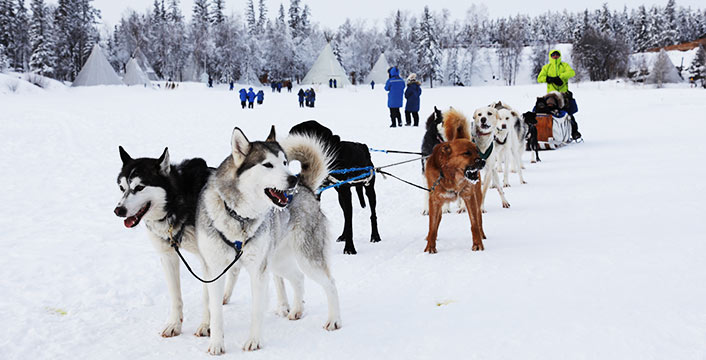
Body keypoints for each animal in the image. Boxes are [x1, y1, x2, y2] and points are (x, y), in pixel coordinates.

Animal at [114, 146, 238, 338]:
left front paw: (206, 326)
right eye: (122, 188)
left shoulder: (207, 260)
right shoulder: (168, 256)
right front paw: (174, 324)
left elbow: (207, 297)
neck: (178, 202)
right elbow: (175, 295)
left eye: (140, 187)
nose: (118, 210)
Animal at [198, 126, 340, 354]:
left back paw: (334, 320)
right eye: (267, 165)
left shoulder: (258, 272)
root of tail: (306, 187)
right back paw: (297, 310)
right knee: (298, 278)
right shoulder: (215, 271)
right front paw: (216, 344)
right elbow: (216, 312)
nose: (292, 180)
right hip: (277, 262)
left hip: (306, 258)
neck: (239, 217)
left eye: (284, 162)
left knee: (330, 283)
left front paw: (254, 341)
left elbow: (256, 311)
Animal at [288, 120, 380, 253]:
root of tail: (364, 146)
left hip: (369, 189)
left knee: (372, 213)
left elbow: (350, 222)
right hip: (340, 197)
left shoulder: (346, 192)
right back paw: (343, 235)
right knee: (345, 214)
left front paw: (350, 248)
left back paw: (375, 236)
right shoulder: (319, 191)